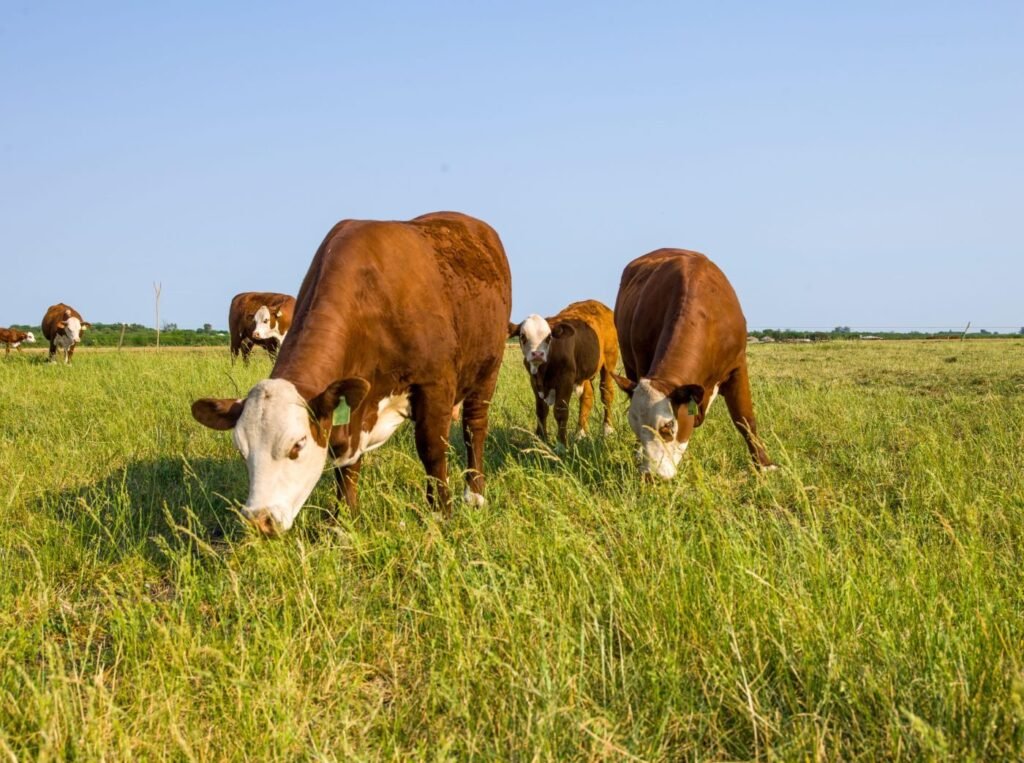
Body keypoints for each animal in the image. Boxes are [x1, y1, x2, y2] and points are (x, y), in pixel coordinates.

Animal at [191, 212, 512, 535]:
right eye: (242, 451)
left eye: (297, 445)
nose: (260, 520)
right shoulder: (352, 403)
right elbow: (346, 463)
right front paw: (342, 521)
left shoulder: (435, 385)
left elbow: (432, 449)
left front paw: (441, 514)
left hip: (488, 370)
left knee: (474, 428)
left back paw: (475, 494)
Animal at [508, 300, 618, 446]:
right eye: (522, 336)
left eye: (549, 337)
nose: (537, 354)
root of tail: (598, 303)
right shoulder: (534, 381)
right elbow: (541, 410)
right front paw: (541, 440)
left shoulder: (566, 380)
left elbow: (560, 411)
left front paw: (561, 444)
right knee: (587, 397)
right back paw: (580, 434)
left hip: (609, 362)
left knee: (606, 393)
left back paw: (607, 430)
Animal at [612, 249, 774, 480]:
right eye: (634, 426)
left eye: (668, 426)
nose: (650, 476)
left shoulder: (737, 366)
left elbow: (745, 419)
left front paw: (764, 465)